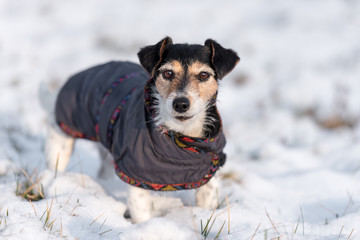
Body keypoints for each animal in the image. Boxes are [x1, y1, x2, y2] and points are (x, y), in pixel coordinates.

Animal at [43, 37, 239, 223]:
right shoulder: (136, 175)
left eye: (204, 75)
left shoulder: (209, 177)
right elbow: (142, 213)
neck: (180, 135)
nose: (181, 104)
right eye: (168, 73)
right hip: (60, 138)